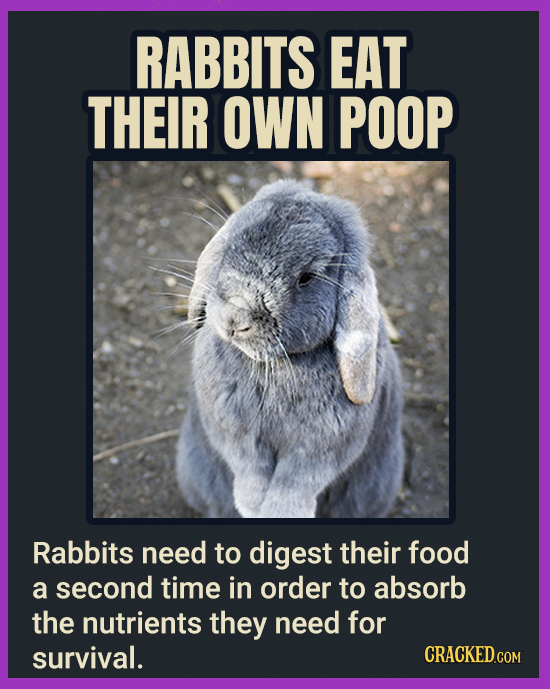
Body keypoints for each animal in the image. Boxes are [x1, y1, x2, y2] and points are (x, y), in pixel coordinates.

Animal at [175, 179, 404, 519]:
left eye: (306, 277)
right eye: (229, 247)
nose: (235, 318)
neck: (276, 365)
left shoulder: (321, 448)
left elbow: (296, 482)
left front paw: (278, 513)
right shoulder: (235, 432)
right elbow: (249, 467)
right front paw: (251, 506)